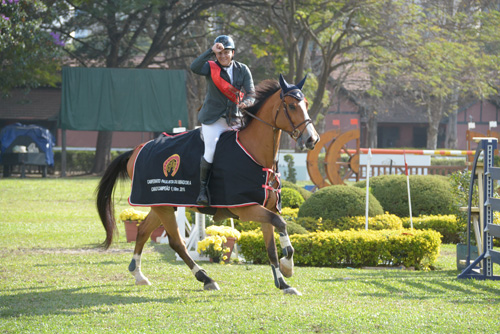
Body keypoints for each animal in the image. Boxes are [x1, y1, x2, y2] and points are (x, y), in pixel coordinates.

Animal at [95, 73, 318, 294]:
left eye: (306, 104)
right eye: (291, 106)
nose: (312, 139)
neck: (256, 155)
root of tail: (137, 149)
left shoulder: (267, 209)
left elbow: (271, 248)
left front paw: (283, 283)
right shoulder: (247, 208)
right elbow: (281, 224)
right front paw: (288, 267)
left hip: (161, 204)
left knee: (142, 231)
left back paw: (138, 274)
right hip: (163, 206)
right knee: (177, 242)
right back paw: (206, 278)